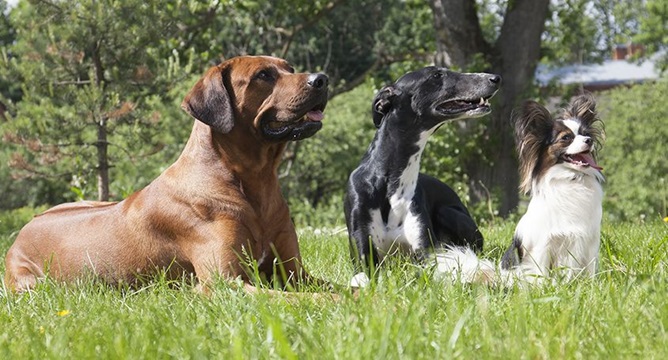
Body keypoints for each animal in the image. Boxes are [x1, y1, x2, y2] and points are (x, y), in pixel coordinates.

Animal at [4, 55, 328, 292]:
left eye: (290, 69)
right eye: (263, 75)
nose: (322, 79)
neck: (254, 182)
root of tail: (20, 234)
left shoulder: (296, 273)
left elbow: (328, 288)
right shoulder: (226, 283)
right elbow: (302, 299)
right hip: (31, 285)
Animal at [344, 66, 500, 286]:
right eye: (436, 75)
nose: (495, 78)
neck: (389, 183)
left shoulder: (425, 251)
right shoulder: (363, 250)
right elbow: (363, 276)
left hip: (448, 213)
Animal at [436, 94, 604, 286]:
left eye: (586, 134)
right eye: (566, 138)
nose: (589, 141)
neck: (571, 179)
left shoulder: (589, 241)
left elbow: (590, 269)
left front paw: (592, 285)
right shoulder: (544, 244)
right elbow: (542, 271)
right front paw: (544, 288)